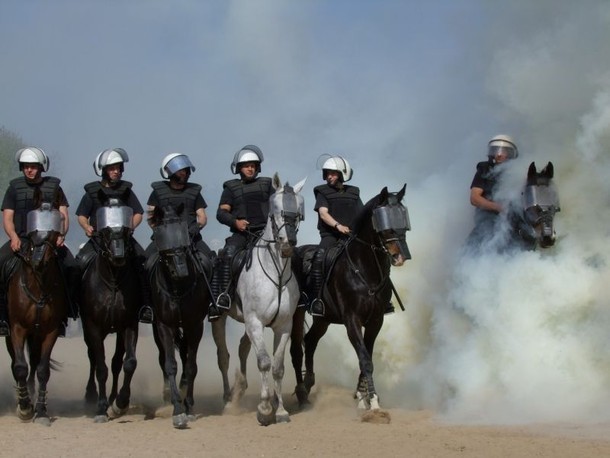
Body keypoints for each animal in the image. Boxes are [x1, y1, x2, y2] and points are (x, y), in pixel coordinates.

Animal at [5, 202, 68, 424]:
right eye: (32, 234)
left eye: (52, 234)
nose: (38, 261)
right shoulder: (17, 329)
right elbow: (20, 367)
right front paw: (24, 407)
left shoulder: (50, 331)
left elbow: (42, 370)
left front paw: (40, 410)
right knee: (18, 363)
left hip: (36, 334)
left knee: (33, 361)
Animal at [78, 193, 140, 422]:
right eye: (104, 230)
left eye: (126, 229)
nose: (119, 256)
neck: (112, 282)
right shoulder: (93, 327)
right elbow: (101, 367)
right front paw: (101, 407)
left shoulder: (129, 325)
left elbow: (128, 363)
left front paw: (120, 402)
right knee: (93, 358)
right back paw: (91, 394)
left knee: (116, 362)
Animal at [147, 204, 211, 430]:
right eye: (161, 235)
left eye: (183, 236)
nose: (181, 272)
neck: (178, 288)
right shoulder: (164, 325)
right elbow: (170, 365)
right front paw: (177, 410)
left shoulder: (195, 325)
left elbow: (191, 367)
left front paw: (189, 407)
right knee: (164, 358)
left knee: (185, 355)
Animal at [210, 173, 304, 426]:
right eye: (276, 210)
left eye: (299, 211)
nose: (288, 244)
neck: (276, 273)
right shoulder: (255, 322)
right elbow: (263, 361)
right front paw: (264, 409)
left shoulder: (283, 326)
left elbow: (278, 367)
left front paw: (280, 410)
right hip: (219, 318)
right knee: (223, 356)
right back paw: (227, 400)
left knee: (243, 347)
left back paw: (240, 388)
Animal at [288, 184, 408, 410]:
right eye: (383, 222)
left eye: (403, 220)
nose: (399, 257)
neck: (364, 268)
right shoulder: (352, 320)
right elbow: (365, 359)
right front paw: (373, 402)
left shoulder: (375, 321)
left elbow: (367, 357)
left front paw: (362, 396)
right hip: (296, 314)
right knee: (296, 349)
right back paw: (301, 394)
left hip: (323, 319)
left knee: (310, 341)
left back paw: (308, 384)